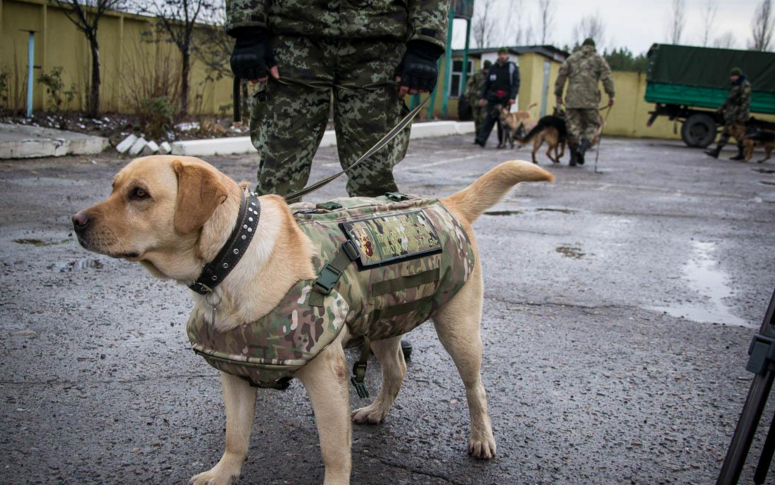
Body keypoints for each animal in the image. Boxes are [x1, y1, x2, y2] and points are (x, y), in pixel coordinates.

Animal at [73, 157, 556, 482]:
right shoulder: (235, 374)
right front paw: (223, 473)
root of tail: (448, 204)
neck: (233, 257)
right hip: (383, 318)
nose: (75, 220)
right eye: (114, 186)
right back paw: (378, 410)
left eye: (139, 194)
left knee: (475, 388)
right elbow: (235, 436)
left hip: (459, 332)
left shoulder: (326, 375)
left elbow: (333, 450)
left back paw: (481, 437)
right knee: (396, 369)